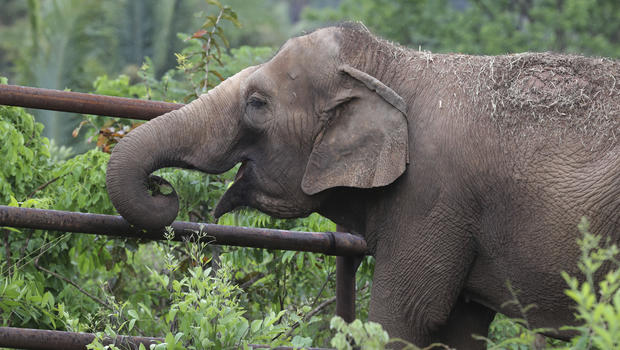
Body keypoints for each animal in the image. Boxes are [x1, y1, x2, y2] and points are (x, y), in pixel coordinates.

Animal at [108, 23, 620, 348]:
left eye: (256, 104)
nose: (163, 189)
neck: (393, 65)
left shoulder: (433, 198)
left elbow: (406, 317)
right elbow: (458, 327)